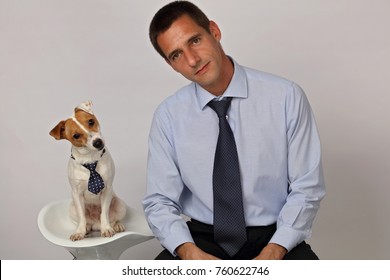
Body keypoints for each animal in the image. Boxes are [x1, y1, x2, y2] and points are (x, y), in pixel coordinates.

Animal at [50, 100, 126, 241]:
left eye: (91, 122)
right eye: (76, 135)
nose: (98, 142)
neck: (90, 160)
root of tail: (96, 224)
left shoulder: (107, 190)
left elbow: (104, 214)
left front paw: (106, 229)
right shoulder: (77, 193)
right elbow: (82, 217)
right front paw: (79, 232)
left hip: (120, 204)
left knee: (112, 219)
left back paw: (116, 226)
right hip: (72, 208)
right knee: (85, 221)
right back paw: (86, 229)